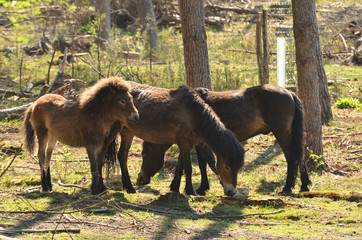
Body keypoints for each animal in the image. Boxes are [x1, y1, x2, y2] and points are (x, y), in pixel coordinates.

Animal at [116, 81, 245, 196]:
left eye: (239, 168)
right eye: (227, 167)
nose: (231, 192)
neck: (192, 114)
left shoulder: (187, 143)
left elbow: (180, 166)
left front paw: (175, 188)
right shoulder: (184, 142)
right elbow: (188, 168)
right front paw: (190, 191)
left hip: (128, 132)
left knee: (122, 155)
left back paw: (127, 186)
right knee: (122, 156)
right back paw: (129, 187)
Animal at [139, 84, 312, 195]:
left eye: (144, 154)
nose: (140, 178)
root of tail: (290, 93)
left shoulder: (197, 143)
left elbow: (196, 163)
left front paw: (185, 187)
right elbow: (196, 163)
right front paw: (199, 187)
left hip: (281, 132)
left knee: (291, 157)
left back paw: (288, 187)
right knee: (300, 155)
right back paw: (304, 185)